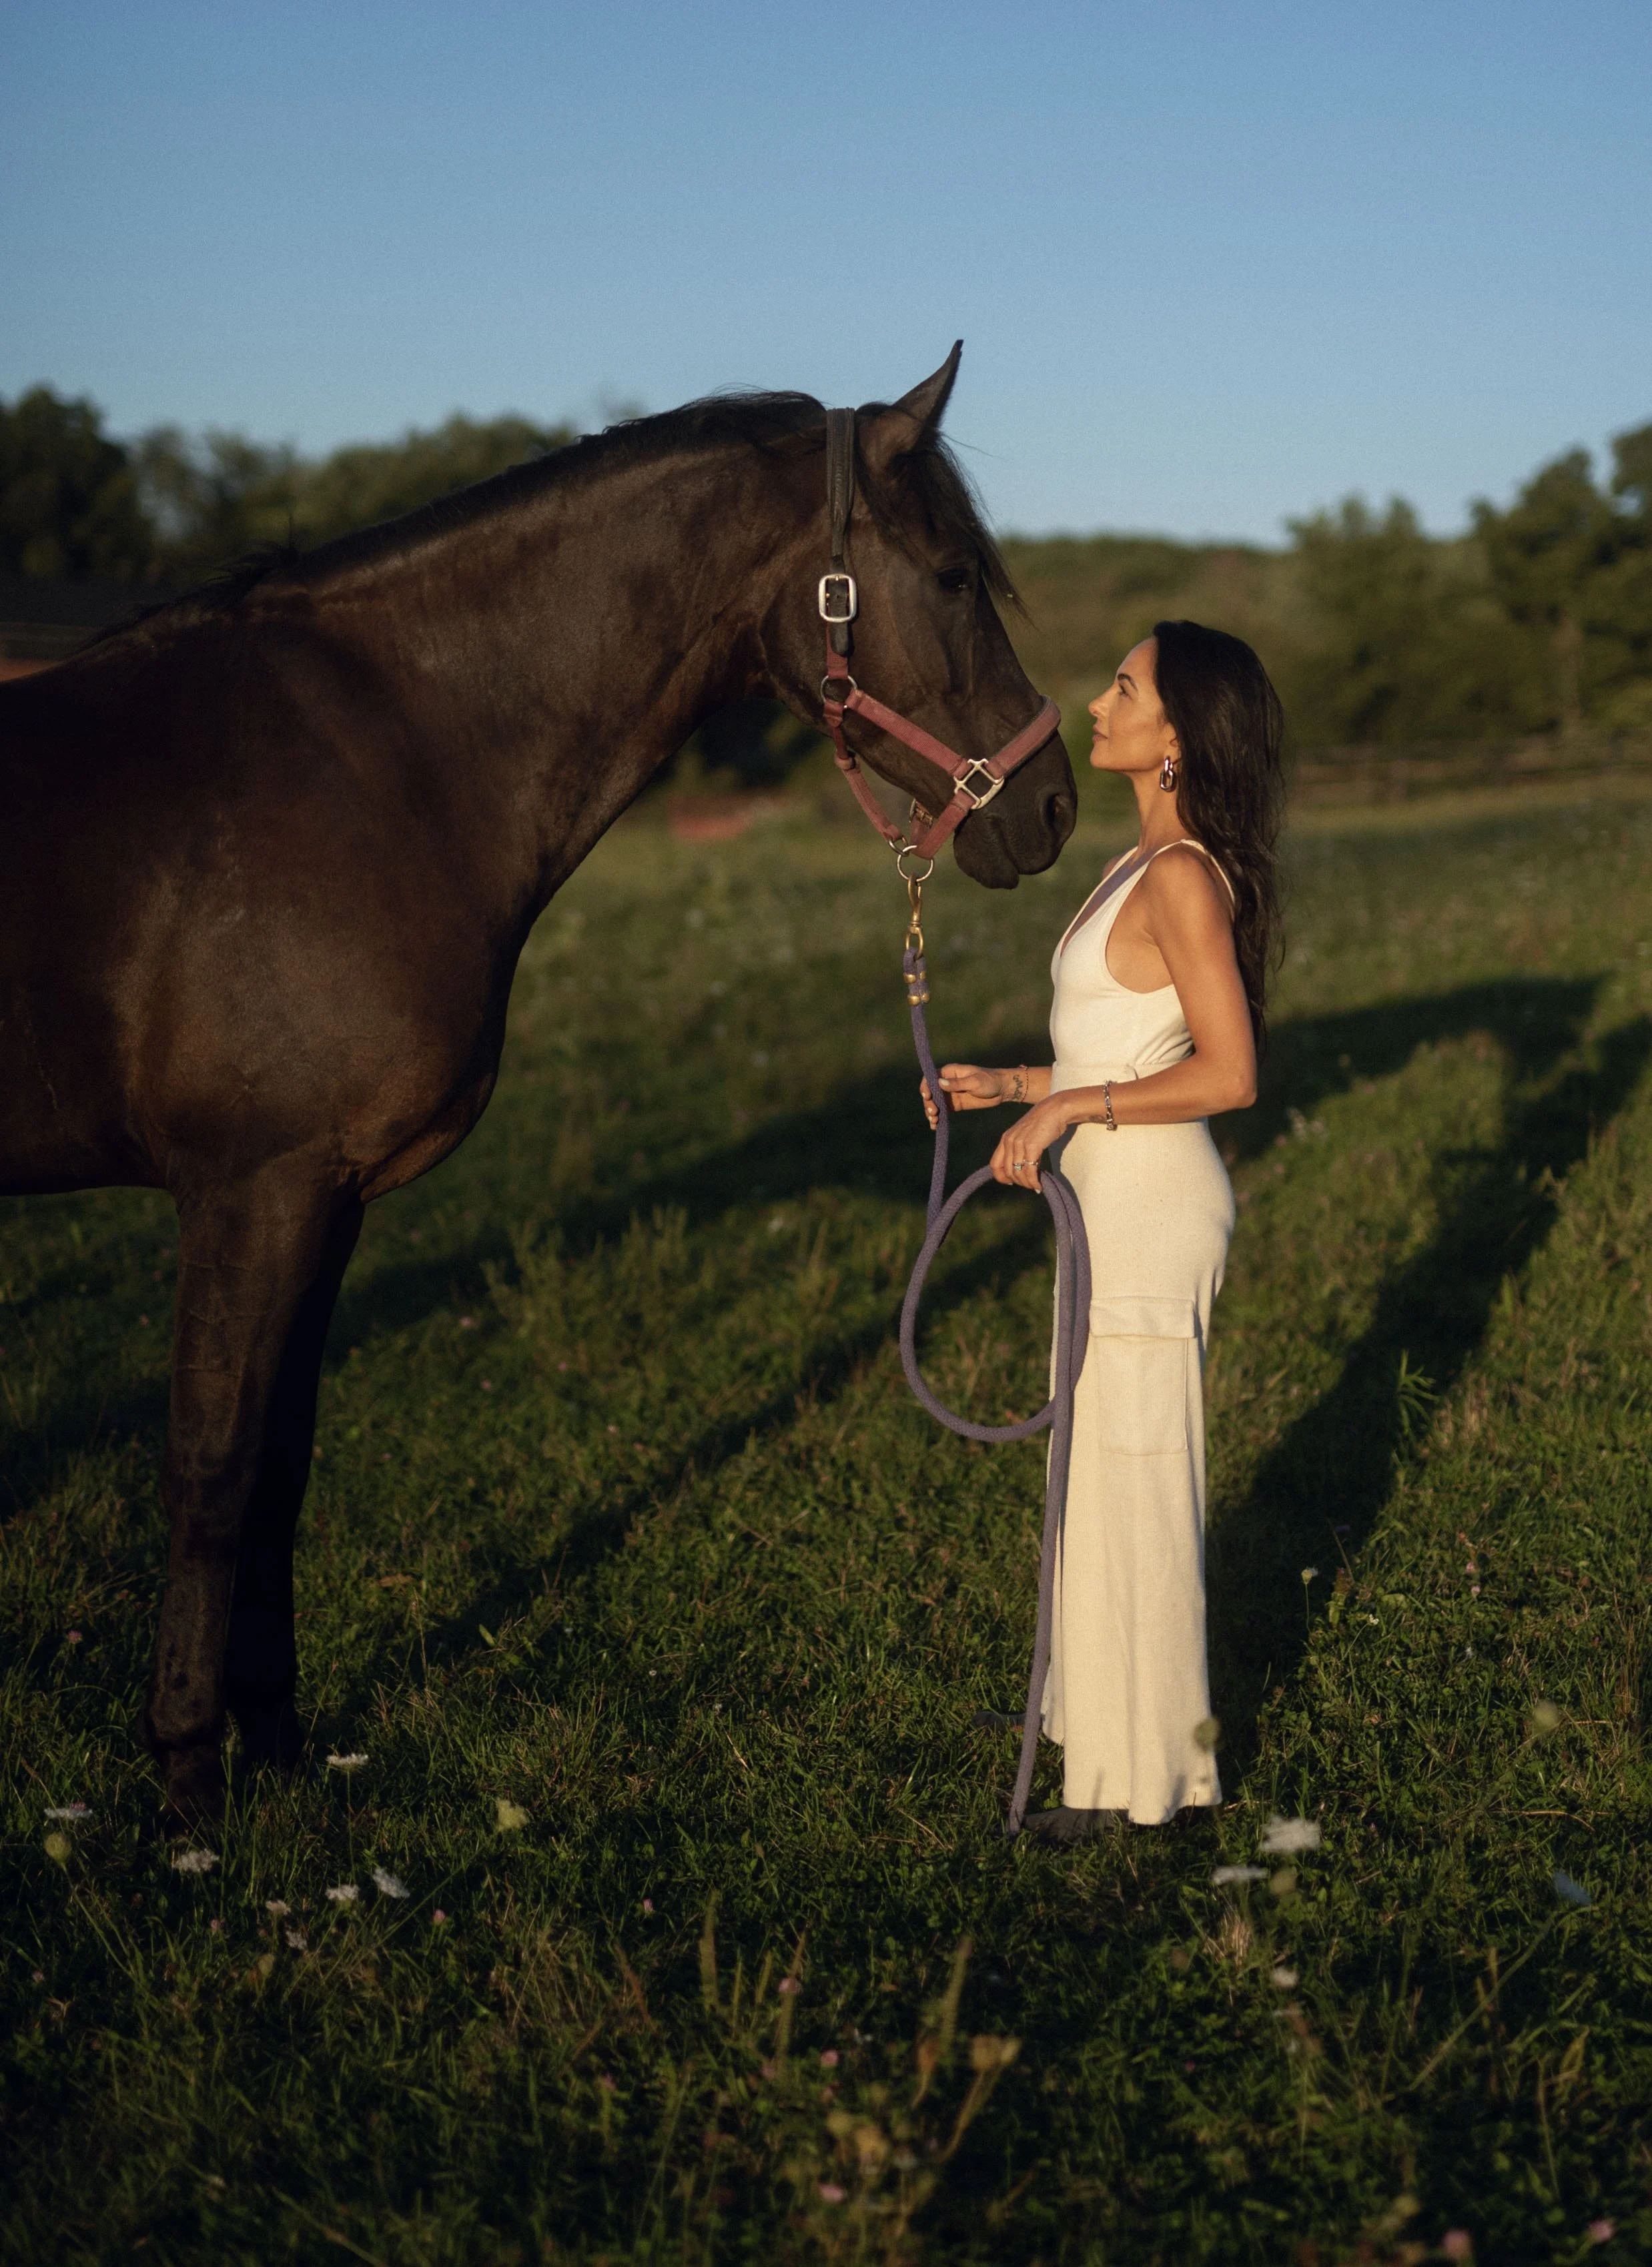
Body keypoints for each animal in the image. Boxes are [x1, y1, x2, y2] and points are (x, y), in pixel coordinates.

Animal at [0, 347, 1076, 1826]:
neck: (374, 761)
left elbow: (282, 1462)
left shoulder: (327, 1196)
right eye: (957, 575)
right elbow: (213, 1468)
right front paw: (184, 1779)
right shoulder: (249, 1189)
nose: (1053, 807)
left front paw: (273, 1745)